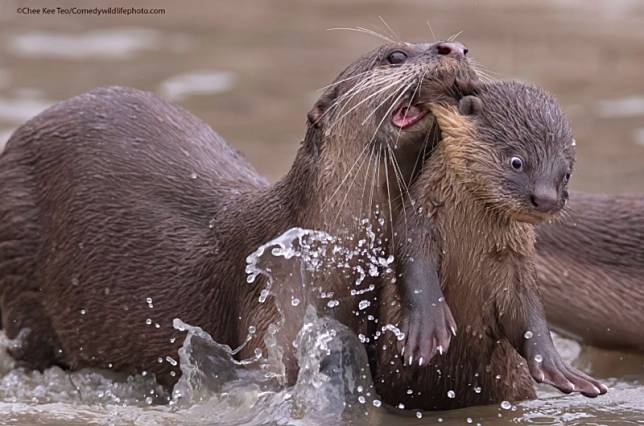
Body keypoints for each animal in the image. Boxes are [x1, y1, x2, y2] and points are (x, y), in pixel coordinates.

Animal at [374, 81, 608, 412]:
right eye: (517, 161)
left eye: (565, 174)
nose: (546, 199)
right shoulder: (419, 221)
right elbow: (414, 264)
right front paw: (429, 326)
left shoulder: (516, 261)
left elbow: (527, 312)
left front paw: (555, 365)